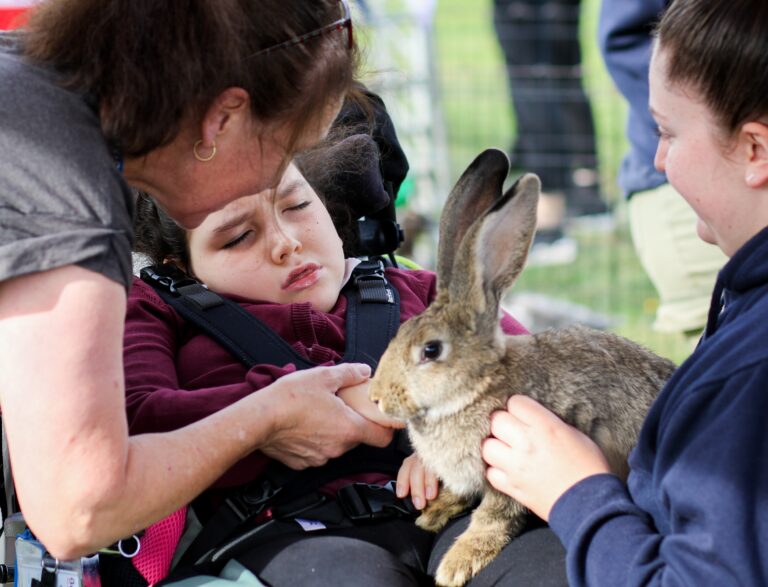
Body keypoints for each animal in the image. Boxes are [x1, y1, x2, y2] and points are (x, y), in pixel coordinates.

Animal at [368, 148, 676, 587]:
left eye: (431, 350)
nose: (376, 398)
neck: (478, 386)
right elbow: (461, 495)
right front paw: (433, 513)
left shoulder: (506, 475)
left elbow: (491, 519)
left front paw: (457, 564)